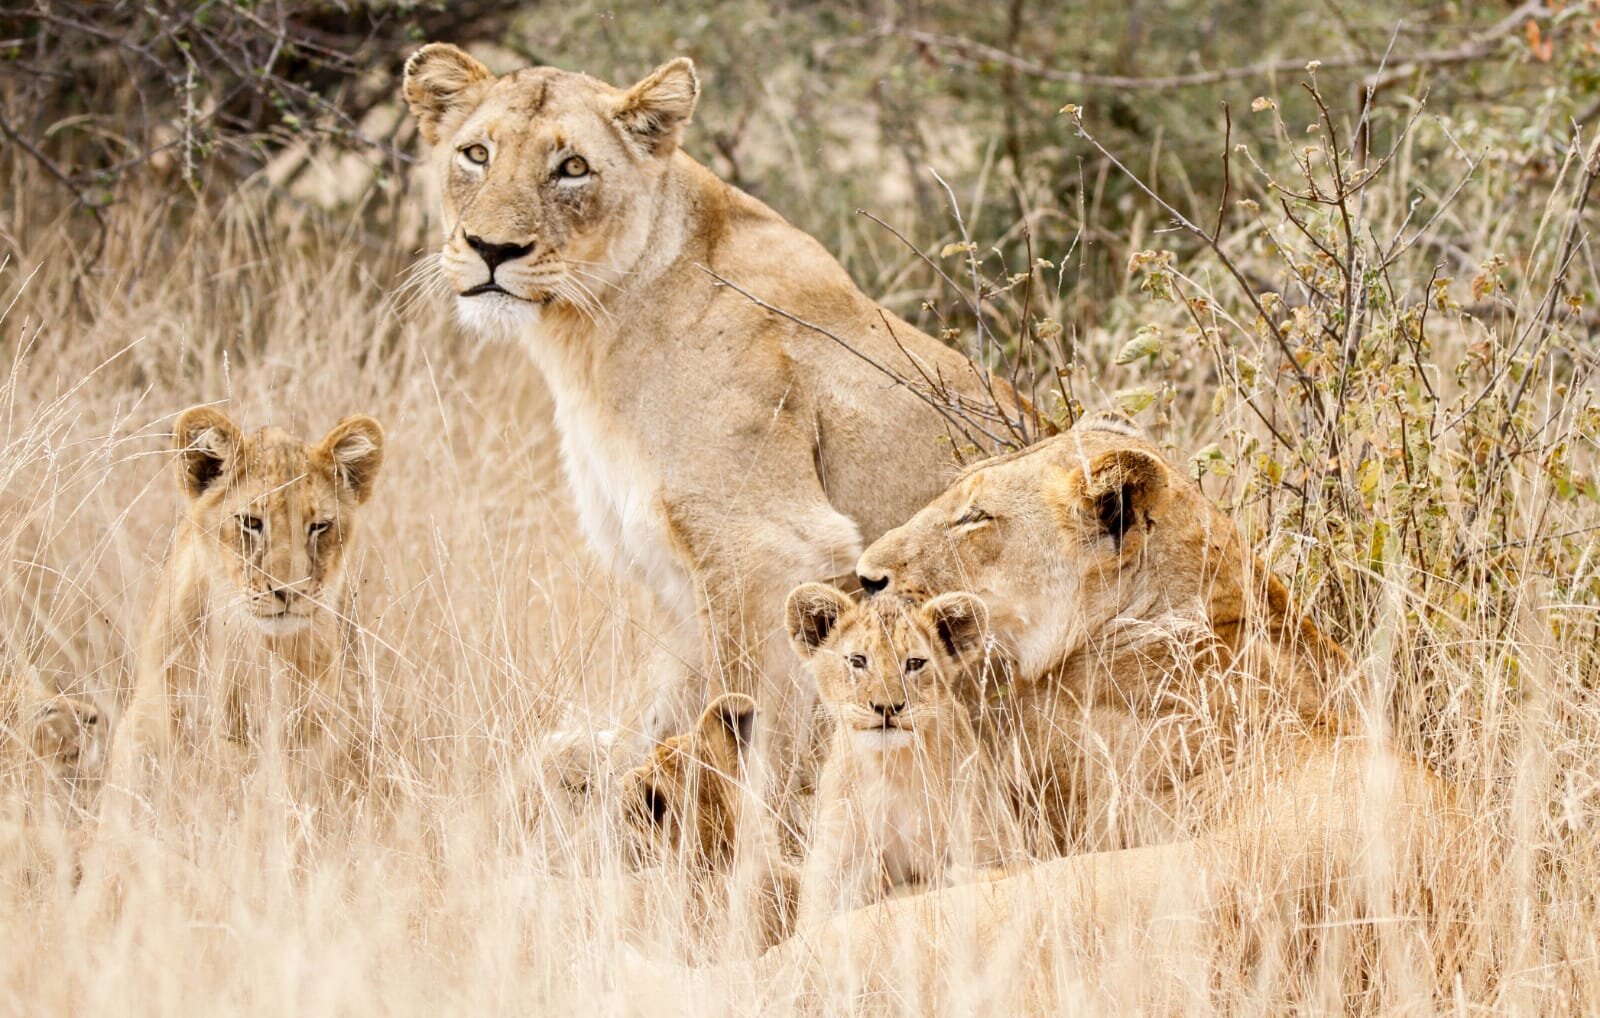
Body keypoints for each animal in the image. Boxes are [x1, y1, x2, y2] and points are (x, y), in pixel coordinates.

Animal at [108, 407, 386, 805]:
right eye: (252, 522)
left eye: (319, 526)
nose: (290, 591)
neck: (243, 645)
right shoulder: (148, 718)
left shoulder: (317, 726)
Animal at [401, 45, 1031, 756]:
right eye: (475, 154)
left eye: (573, 168)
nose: (492, 249)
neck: (589, 334)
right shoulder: (673, 577)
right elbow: (657, 716)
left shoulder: (767, 546)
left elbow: (741, 714)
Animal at [784, 583, 1023, 928]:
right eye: (858, 661)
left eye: (914, 663)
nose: (886, 707)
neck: (891, 767)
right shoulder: (837, 861)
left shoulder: (988, 845)